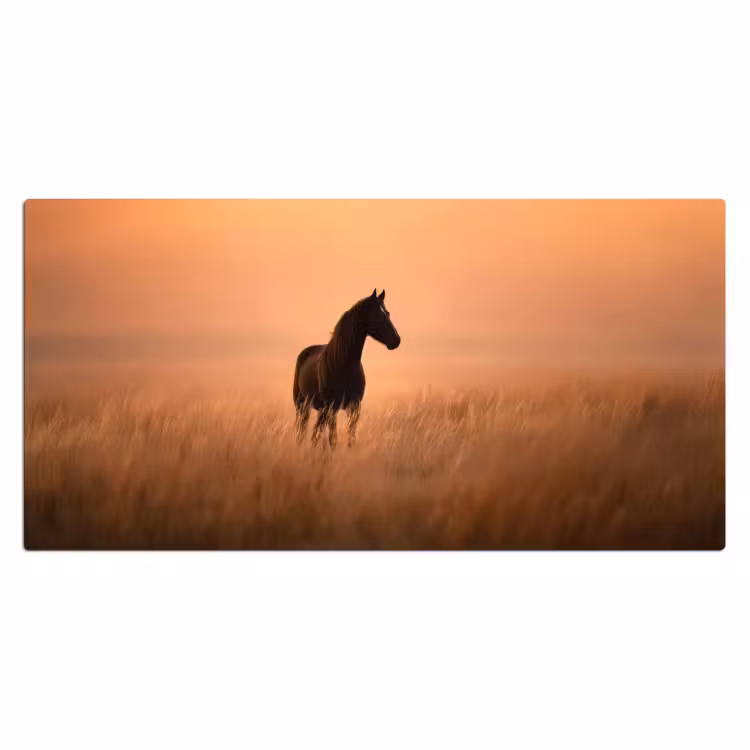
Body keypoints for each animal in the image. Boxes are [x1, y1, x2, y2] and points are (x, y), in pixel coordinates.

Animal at [292, 289, 401, 447]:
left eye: (388, 313)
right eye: (377, 314)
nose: (396, 340)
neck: (343, 364)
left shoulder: (354, 407)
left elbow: (351, 439)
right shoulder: (332, 408)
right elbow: (333, 440)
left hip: (320, 409)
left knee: (315, 433)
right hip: (302, 406)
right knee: (303, 430)